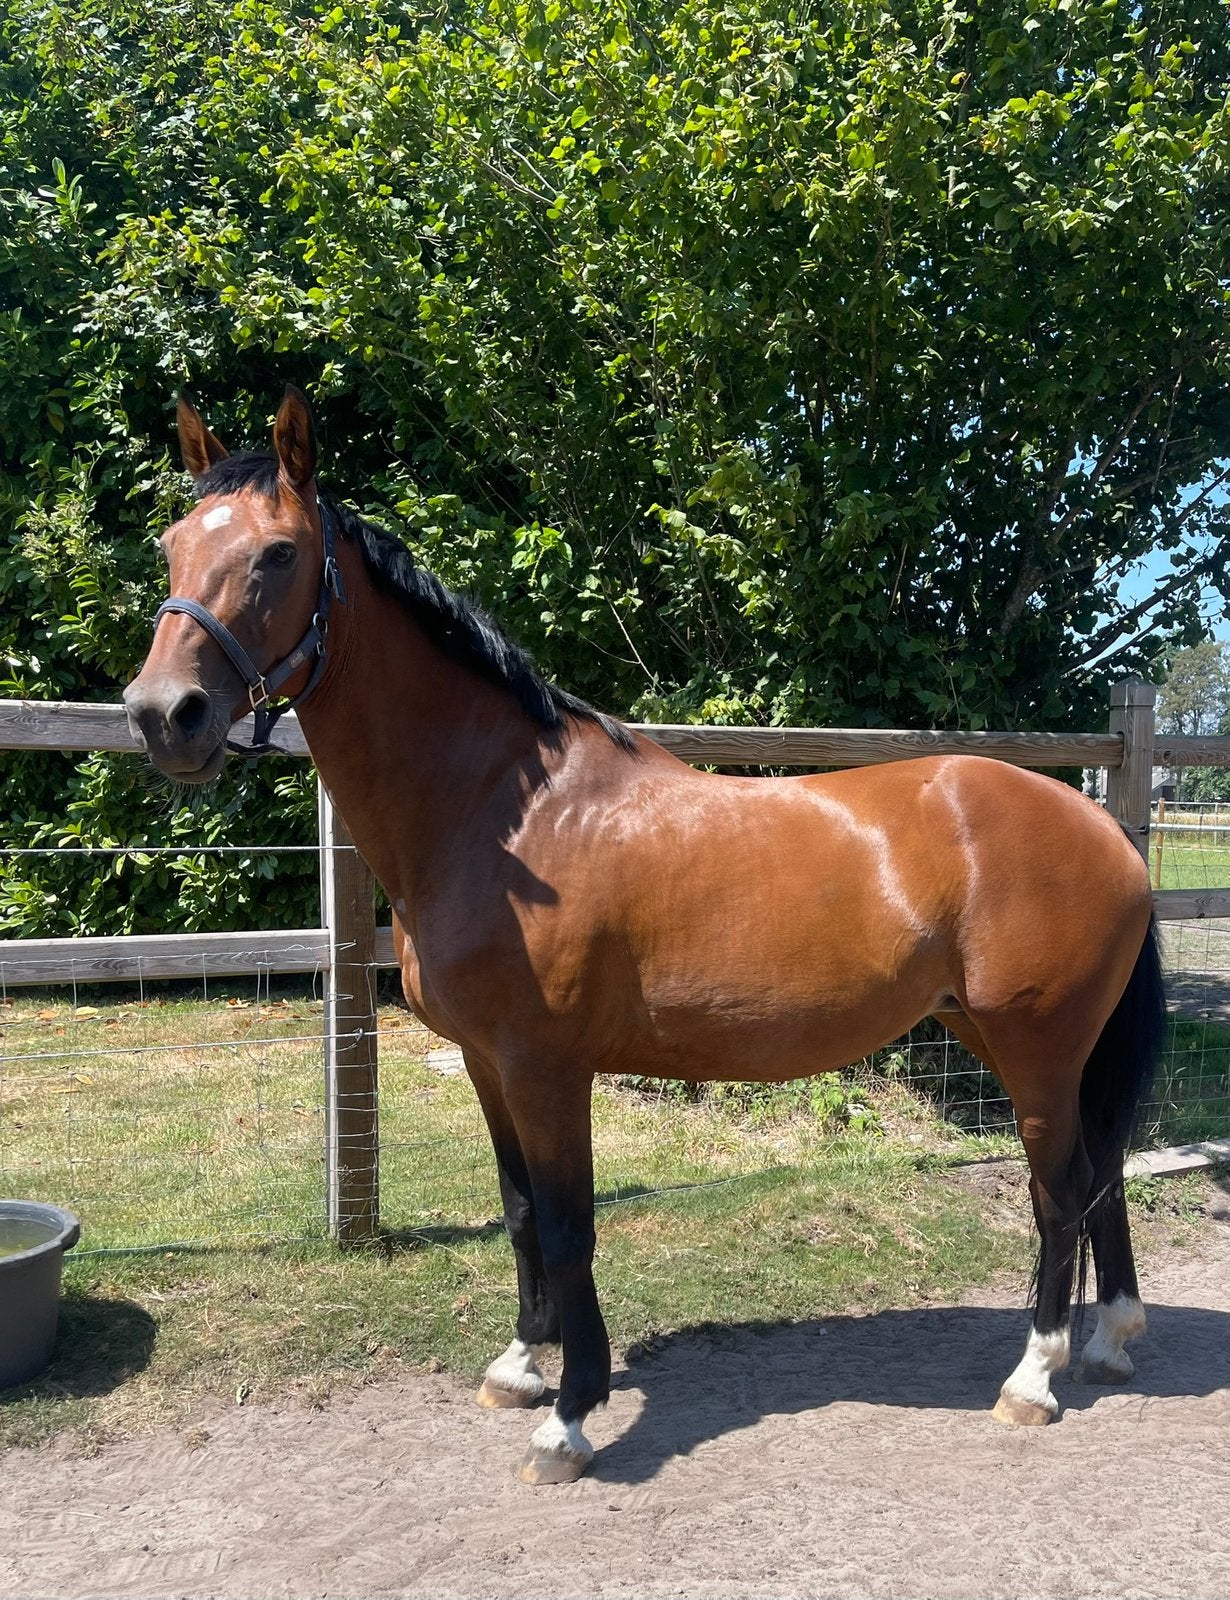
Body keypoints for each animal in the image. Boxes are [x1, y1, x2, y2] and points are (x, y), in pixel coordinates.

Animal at [124, 387, 1165, 1484]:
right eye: (172, 545)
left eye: (279, 553)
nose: (163, 715)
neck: (507, 816)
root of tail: (1101, 826)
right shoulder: (489, 1064)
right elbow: (522, 1215)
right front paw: (520, 1364)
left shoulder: (546, 1067)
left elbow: (569, 1226)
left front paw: (571, 1413)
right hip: (1006, 1035)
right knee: (1099, 1176)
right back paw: (1108, 1339)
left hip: (1037, 1046)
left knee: (1059, 1192)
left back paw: (1035, 1376)